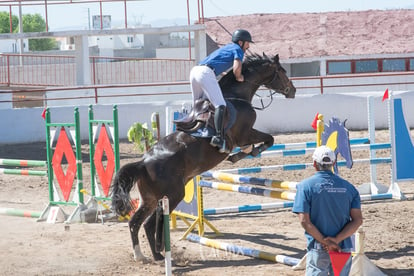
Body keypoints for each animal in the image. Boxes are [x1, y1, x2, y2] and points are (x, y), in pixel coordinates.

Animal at [111, 52, 296, 262]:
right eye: (282, 71)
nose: (293, 90)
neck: (237, 96)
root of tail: (143, 162)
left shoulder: (244, 137)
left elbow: (258, 143)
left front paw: (244, 153)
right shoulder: (245, 134)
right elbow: (269, 139)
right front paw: (247, 153)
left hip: (150, 198)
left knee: (135, 222)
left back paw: (143, 255)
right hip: (173, 194)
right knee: (149, 223)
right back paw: (159, 254)